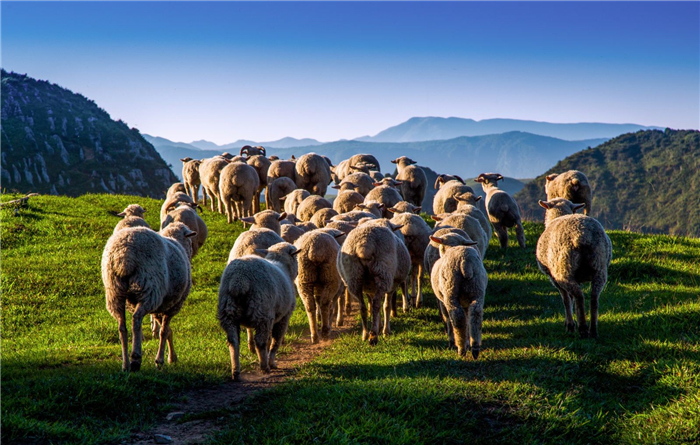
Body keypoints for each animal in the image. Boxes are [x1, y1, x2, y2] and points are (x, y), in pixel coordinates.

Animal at [101, 222, 196, 372]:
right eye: (191, 242)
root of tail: (123, 256)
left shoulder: (160, 307)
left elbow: (167, 331)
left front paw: (172, 357)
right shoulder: (173, 305)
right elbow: (164, 331)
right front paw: (160, 360)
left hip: (114, 291)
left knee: (122, 326)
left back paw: (125, 364)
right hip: (149, 288)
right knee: (136, 319)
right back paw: (135, 359)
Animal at [216, 241, 298, 380]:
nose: (298, 271)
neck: (282, 267)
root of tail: (239, 279)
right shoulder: (284, 316)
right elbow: (276, 340)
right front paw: (272, 362)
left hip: (228, 312)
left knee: (233, 341)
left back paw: (236, 371)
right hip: (262, 313)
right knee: (260, 341)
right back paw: (265, 367)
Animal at [536, 198, 612, 336]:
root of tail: (582, 235)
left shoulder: (554, 279)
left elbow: (566, 300)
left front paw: (569, 324)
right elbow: (571, 299)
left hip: (564, 269)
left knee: (579, 297)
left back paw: (582, 328)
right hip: (599, 269)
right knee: (594, 298)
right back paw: (593, 329)